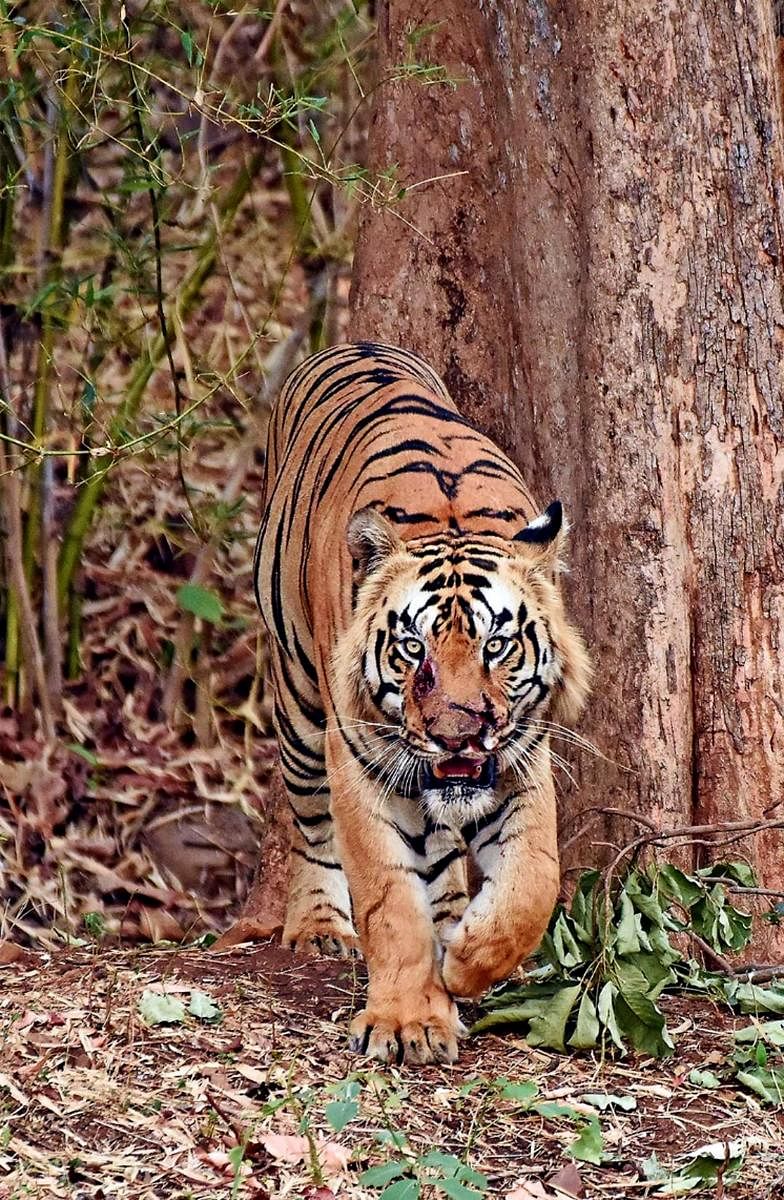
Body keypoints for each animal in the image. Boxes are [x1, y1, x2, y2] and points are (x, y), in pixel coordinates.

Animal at [253, 343, 590, 1065]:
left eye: (497, 645)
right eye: (414, 649)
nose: (456, 738)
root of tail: (355, 344)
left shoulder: (523, 757)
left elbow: (534, 881)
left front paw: (466, 959)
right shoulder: (360, 761)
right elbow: (390, 901)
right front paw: (409, 1019)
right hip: (298, 701)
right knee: (312, 825)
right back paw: (319, 926)